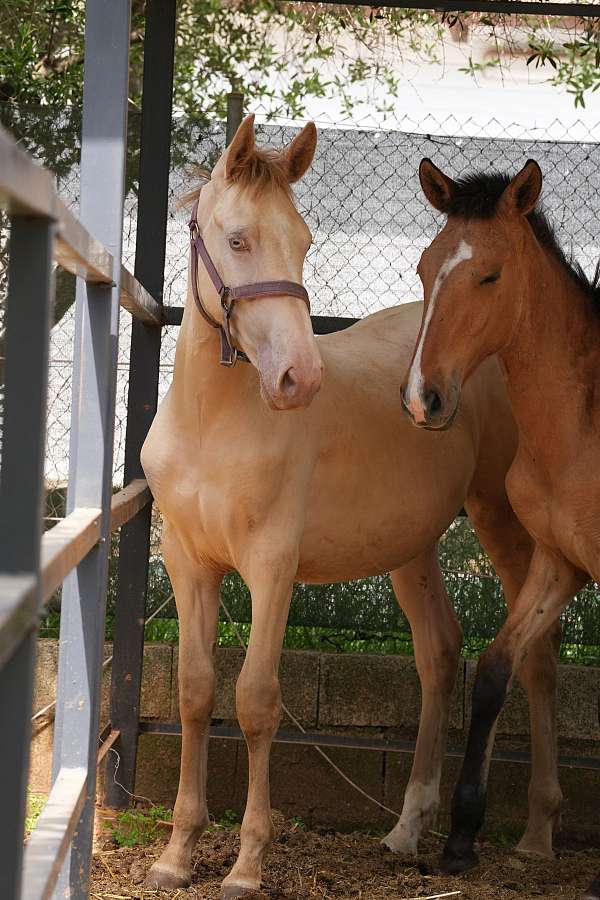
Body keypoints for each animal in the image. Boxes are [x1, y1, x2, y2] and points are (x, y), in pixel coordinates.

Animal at [141, 116, 549, 899]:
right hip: (410, 547)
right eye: (237, 239)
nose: (299, 379)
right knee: (439, 651)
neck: (213, 423)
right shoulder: (188, 562)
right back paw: (407, 829)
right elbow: (194, 692)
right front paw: (176, 853)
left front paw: (246, 865)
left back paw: (538, 835)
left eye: (303, 240)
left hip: (503, 520)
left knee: (534, 654)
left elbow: (255, 701)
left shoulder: (271, 566)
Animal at [401, 157, 600, 900]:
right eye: (426, 268)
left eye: (490, 276)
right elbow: (495, 669)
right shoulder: (559, 560)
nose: (422, 398)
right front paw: (460, 840)